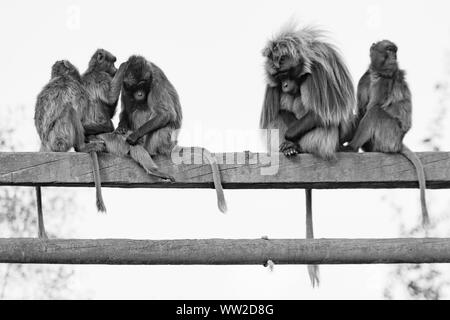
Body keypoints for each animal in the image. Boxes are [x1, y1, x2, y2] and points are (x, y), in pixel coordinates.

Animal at [34, 60, 105, 238]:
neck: (62, 76)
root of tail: (45, 143)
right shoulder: (77, 89)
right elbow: (80, 114)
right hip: (60, 137)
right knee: (70, 110)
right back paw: (82, 147)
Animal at [118, 55, 227, 212]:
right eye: (135, 87)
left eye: (142, 85)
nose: (139, 93)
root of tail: (171, 144)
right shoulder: (124, 79)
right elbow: (125, 110)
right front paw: (120, 128)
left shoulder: (155, 81)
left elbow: (166, 114)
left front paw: (133, 136)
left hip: (161, 138)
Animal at [260, 23, 356, 286]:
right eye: (278, 77)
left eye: (285, 73)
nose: (283, 85)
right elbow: (273, 114)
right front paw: (286, 138)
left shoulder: (322, 66)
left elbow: (326, 111)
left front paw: (290, 137)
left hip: (322, 138)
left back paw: (295, 144)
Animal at [348, 39, 428, 225]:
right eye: (389, 50)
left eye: (394, 51)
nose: (394, 57)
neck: (375, 73)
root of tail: (399, 141)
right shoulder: (365, 79)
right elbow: (360, 111)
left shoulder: (384, 81)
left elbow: (370, 109)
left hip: (388, 134)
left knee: (375, 112)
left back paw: (352, 147)